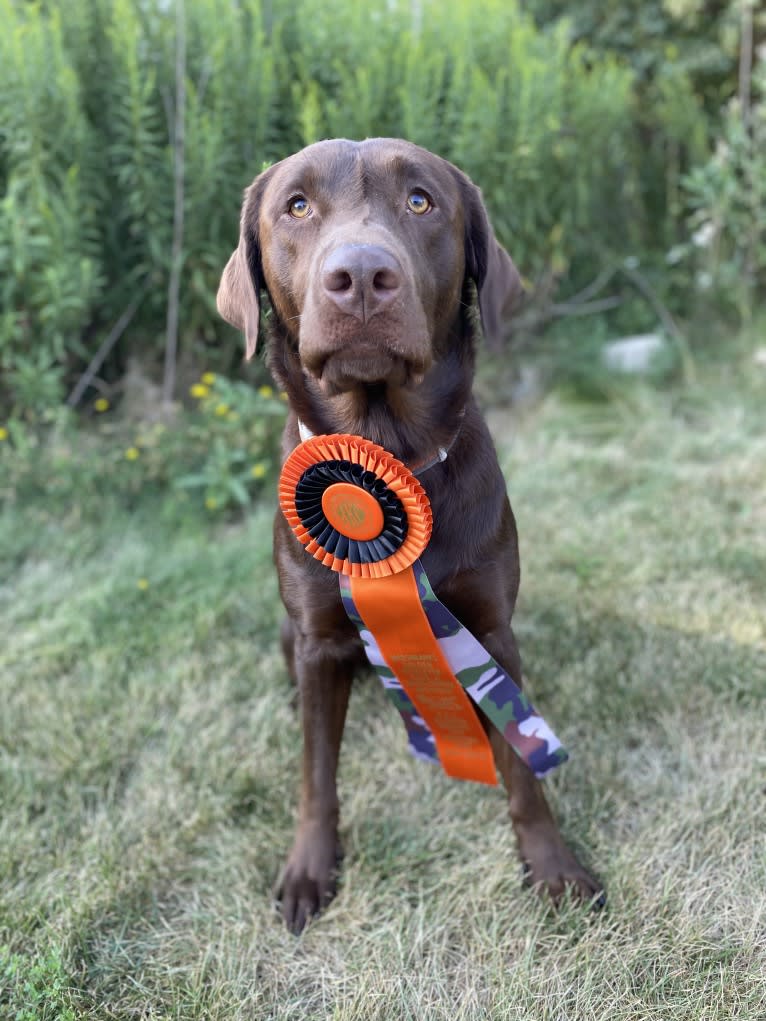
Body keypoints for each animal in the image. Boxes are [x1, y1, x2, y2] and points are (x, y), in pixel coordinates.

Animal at [214, 137, 600, 935]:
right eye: (297, 206)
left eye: (421, 201)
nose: (361, 277)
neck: (386, 454)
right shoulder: (318, 640)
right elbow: (316, 772)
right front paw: (310, 868)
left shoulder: (492, 626)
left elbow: (522, 763)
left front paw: (551, 864)